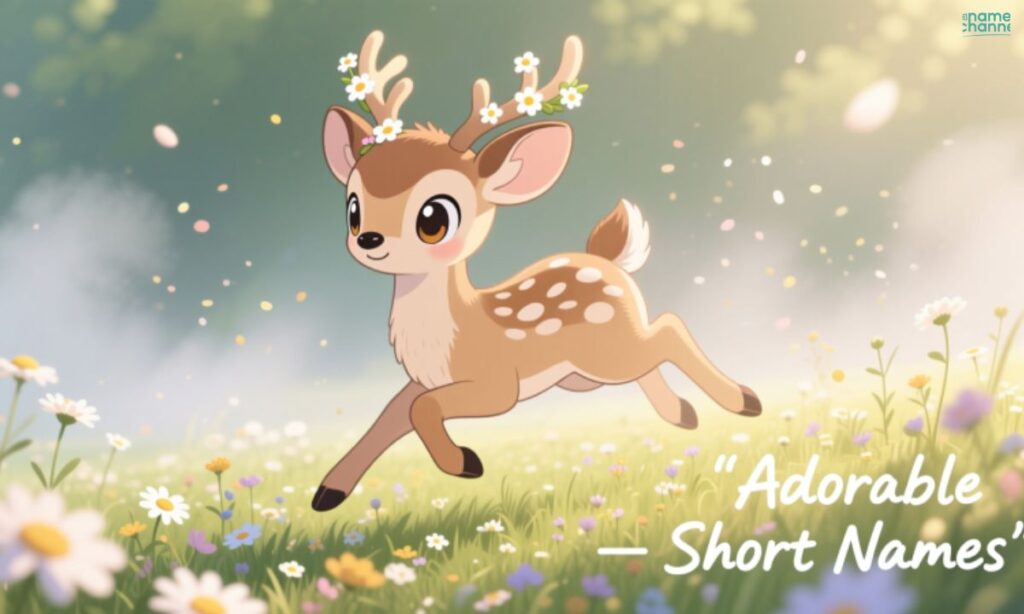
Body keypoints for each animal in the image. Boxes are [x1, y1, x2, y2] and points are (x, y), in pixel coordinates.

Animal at [312, 30, 761, 512]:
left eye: (434, 218)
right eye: (353, 207)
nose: (368, 239)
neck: (450, 337)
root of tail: (606, 260)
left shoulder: (498, 386)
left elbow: (421, 410)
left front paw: (465, 461)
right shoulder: (420, 381)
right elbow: (390, 416)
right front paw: (329, 491)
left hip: (606, 353)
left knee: (669, 329)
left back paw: (744, 400)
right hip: (584, 376)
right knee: (653, 350)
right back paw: (682, 412)